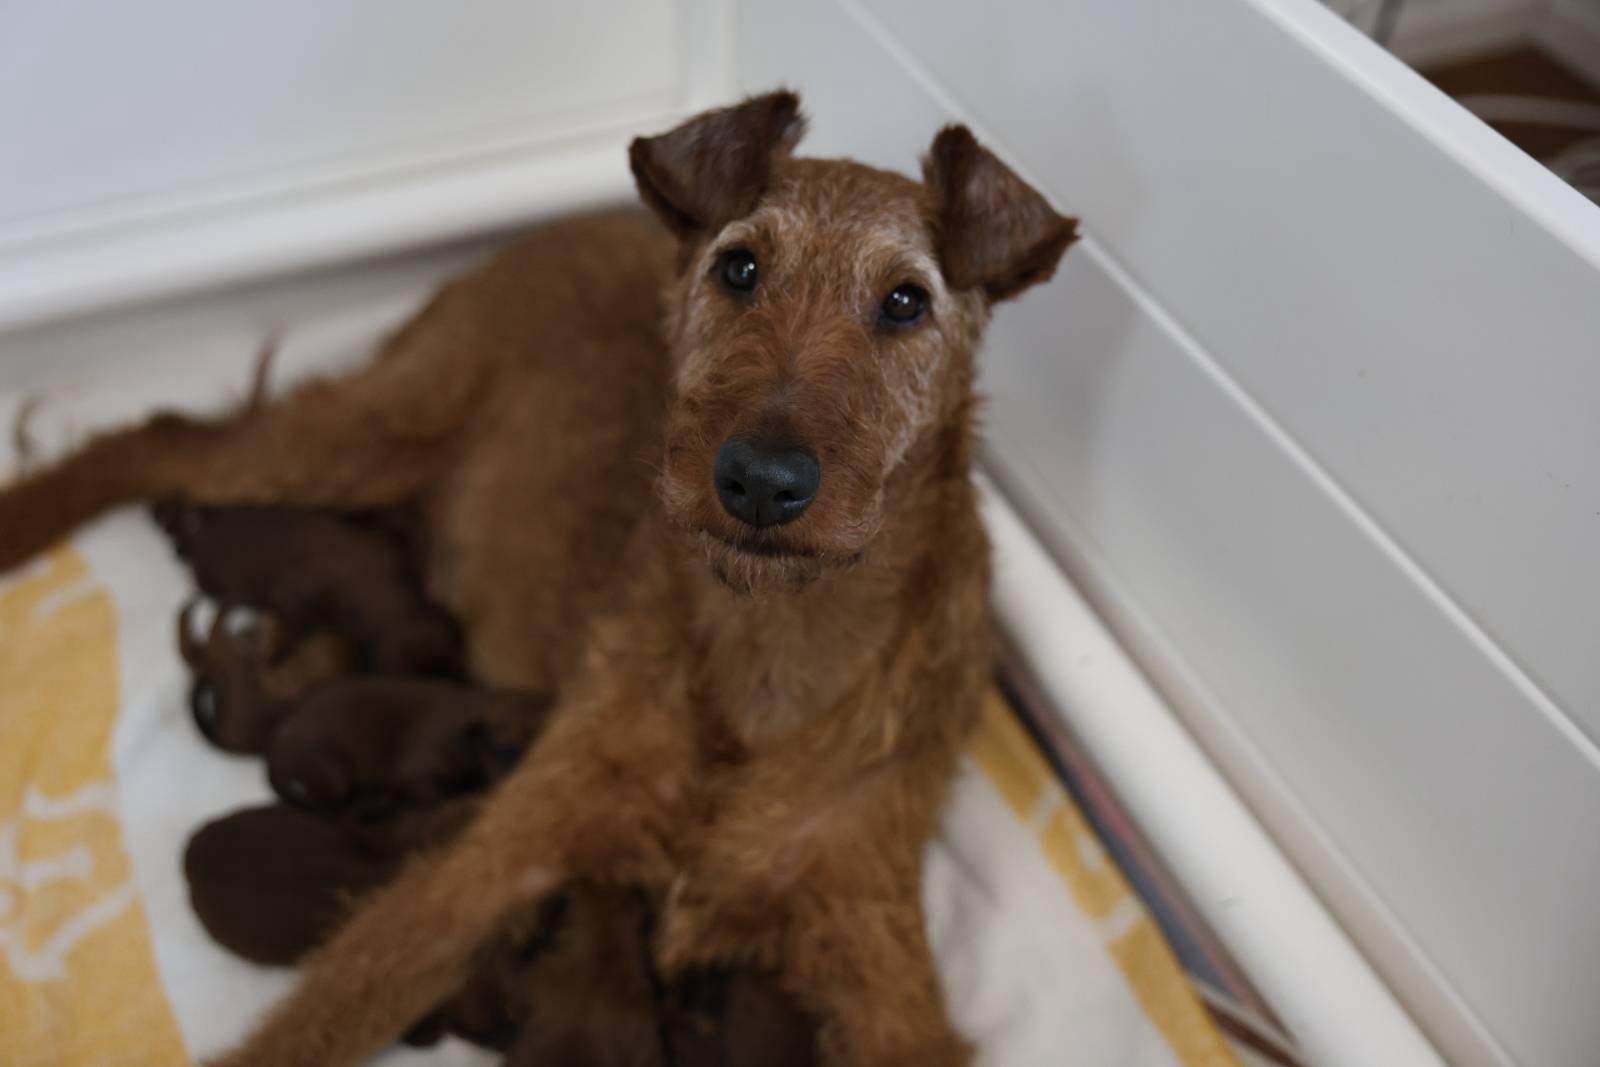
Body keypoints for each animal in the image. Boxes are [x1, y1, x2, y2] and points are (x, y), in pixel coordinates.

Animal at [0, 91, 1076, 1065]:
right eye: (740, 266)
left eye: (906, 301)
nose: (761, 479)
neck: (773, 649)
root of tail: (562, 225)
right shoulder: (491, 858)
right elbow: (325, 1011)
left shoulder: (875, 954)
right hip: (371, 430)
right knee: (162, 437)